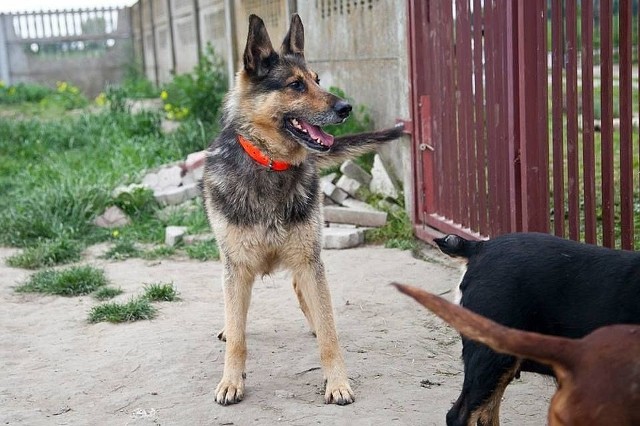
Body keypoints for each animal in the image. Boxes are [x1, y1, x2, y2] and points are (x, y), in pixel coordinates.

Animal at [204, 14, 404, 406]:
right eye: (295, 85)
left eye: (317, 80)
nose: (346, 108)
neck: (270, 165)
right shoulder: (236, 266)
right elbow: (238, 336)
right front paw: (231, 380)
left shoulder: (310, 262)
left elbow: (329, 334)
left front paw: (337, 382)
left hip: (307, 257)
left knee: (308, 297)